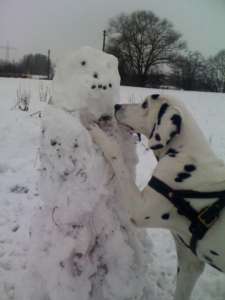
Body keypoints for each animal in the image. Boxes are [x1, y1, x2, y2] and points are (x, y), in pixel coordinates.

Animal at [89, 94, 225, 300]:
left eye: (145, 104)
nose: (117, 106)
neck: (186, 152)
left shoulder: (138, 210)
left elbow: (117, 157)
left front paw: (101, 136)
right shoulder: (190, 264)